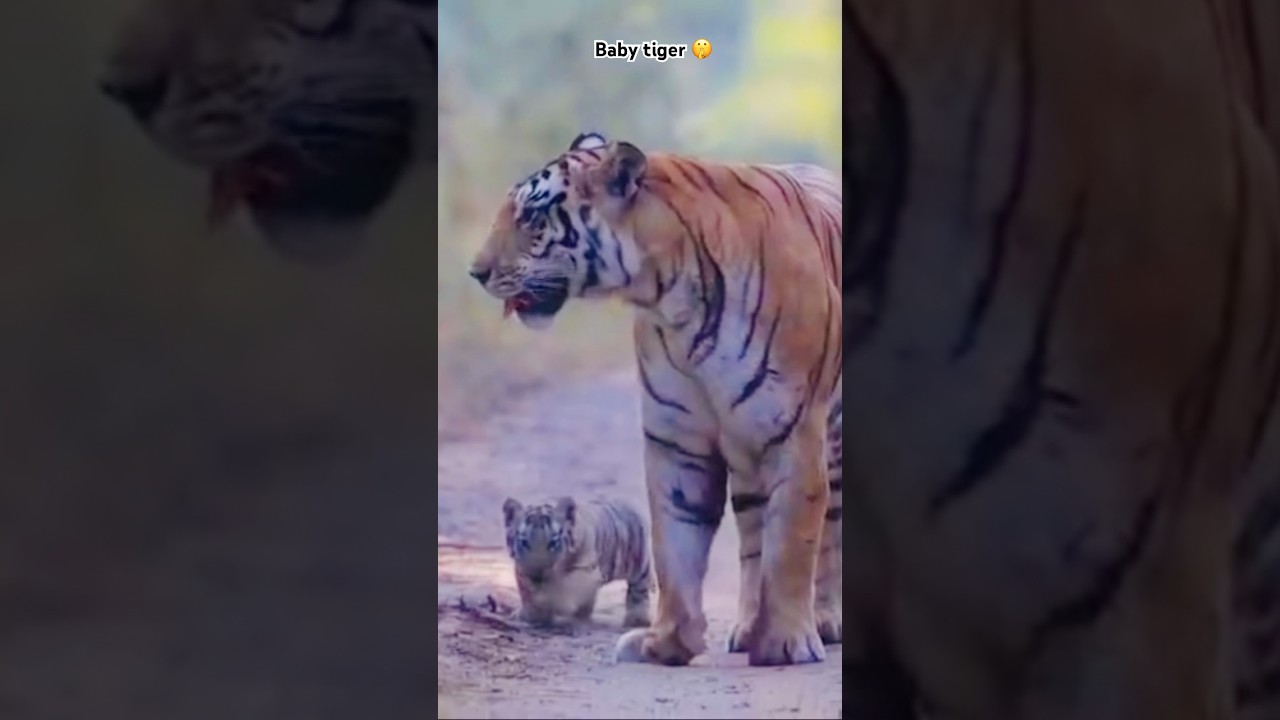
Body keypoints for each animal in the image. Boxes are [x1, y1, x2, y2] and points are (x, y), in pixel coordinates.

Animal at [502, 496, 653, 628]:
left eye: (553, 542)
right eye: (524, 542)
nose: (537, 573)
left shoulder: (586, 570)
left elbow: (567, 588)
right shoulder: (523, 572)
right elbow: (529, 595)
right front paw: (532, 615)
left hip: (639, 564)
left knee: (639, 589)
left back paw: (637, 620)